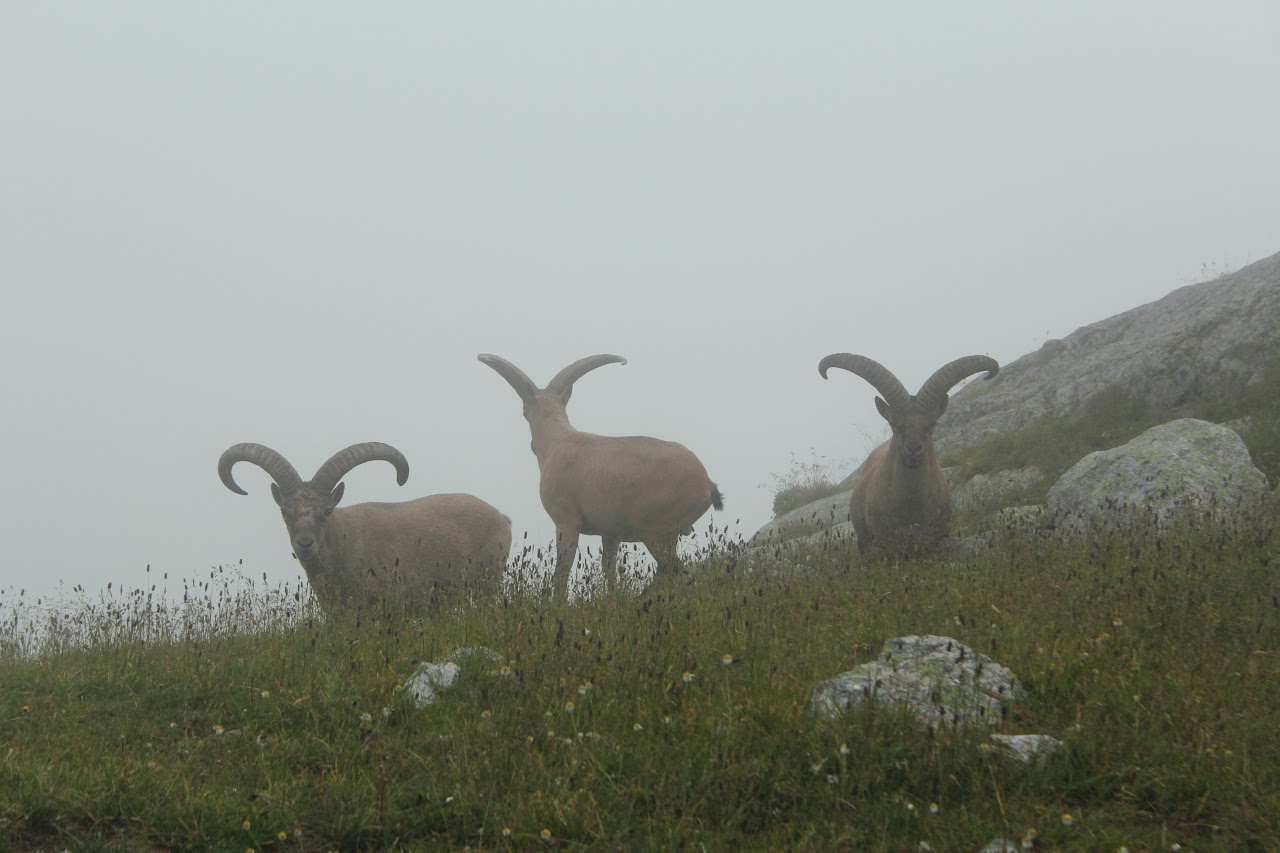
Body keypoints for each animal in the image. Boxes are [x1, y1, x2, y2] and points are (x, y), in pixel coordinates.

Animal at [216, 438, 509, 604]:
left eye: (327, 511)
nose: (305, 543)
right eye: (284, 511)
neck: (345, 543)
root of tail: (503, 519)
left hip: (487, 579)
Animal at [478, 350, 721, 596]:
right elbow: (609, 570)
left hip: (656, 531)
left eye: (524, 411)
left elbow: (561, 572)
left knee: (674, 569)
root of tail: (707, 484)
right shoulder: (610, 532)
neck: (557, 441)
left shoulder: (566, 521)